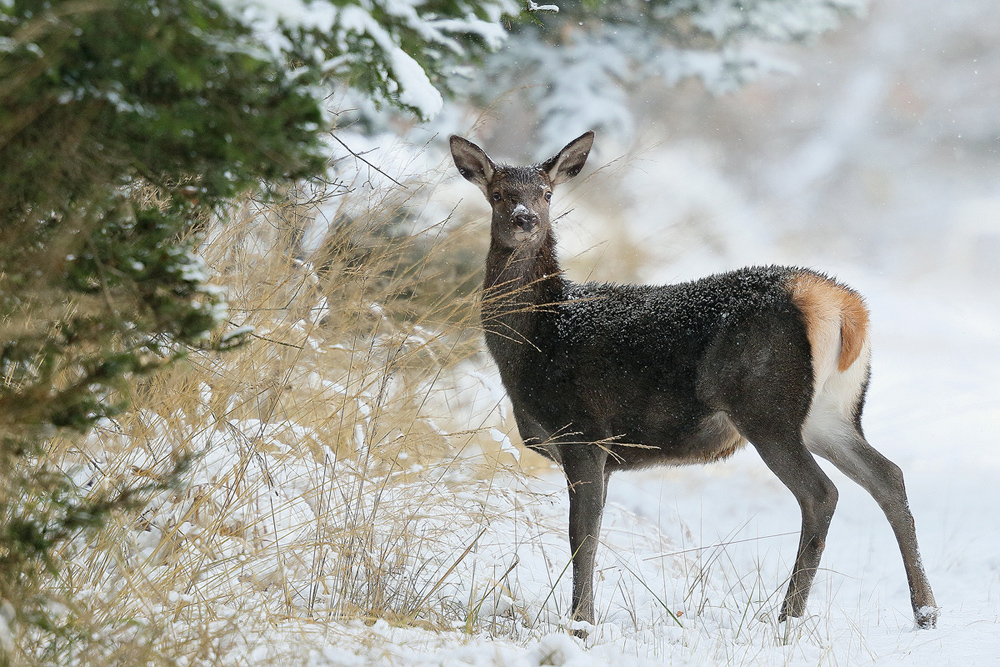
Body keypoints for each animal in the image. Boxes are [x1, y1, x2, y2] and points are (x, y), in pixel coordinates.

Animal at [450, 132, 940, 636]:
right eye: (499, 194)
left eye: (547, 194)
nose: (525, 219)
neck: (537, 340)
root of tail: (842, 306)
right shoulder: (600, 453)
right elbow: (591, 533)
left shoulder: (585, 433)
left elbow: (581, 536)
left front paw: (581, 624)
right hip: (830, 413)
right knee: (888, 475)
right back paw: (925, 612)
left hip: (766, 405)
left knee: (821, 493)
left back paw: (786, 618)